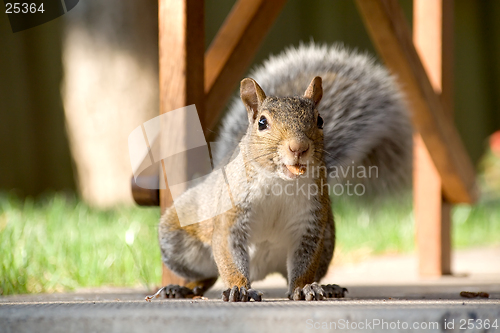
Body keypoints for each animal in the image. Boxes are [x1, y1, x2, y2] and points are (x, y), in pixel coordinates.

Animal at [154, 43, 412, 300]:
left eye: (320, 120)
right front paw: (239, 287)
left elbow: (304, 265)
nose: (299, 147)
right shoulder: (230, 220)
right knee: (208, 275)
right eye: (262, 123)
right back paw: (182, 288)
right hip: (175, 239)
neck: (279, 182)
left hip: (327, 239)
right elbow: (229, 259)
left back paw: (328, 287)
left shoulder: (310, 224)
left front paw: (305, 287)